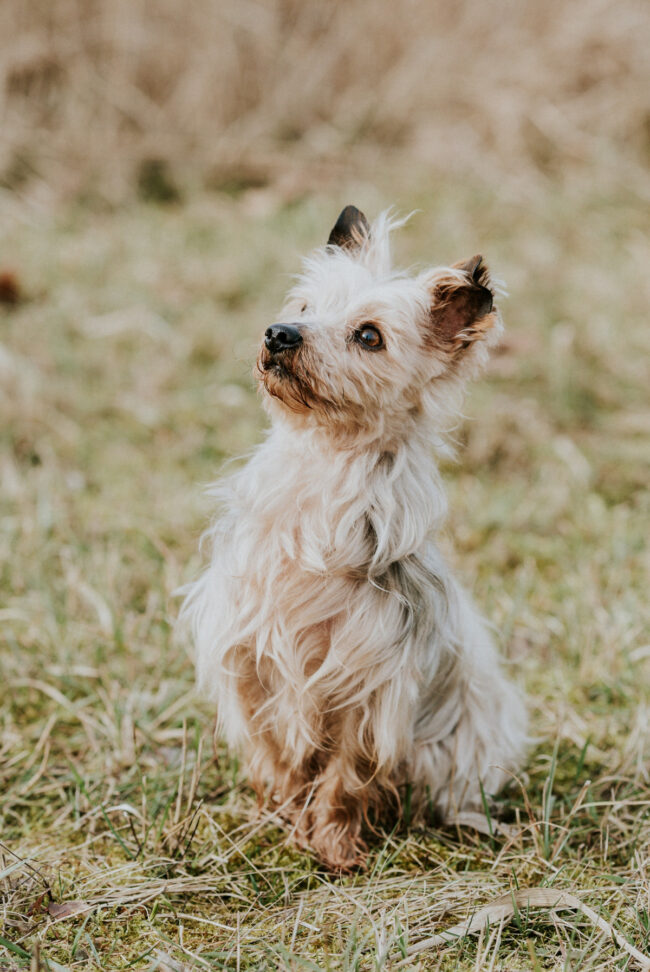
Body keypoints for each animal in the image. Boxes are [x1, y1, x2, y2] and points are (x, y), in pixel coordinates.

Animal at [180, 207, 524, 872]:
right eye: (304, 307)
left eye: (369, 336)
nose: (279, 334)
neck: (325, 472)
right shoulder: (254, 665)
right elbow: (282, 765)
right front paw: (284, 823)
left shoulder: (369, 686)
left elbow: (345, 776)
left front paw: (335, 847)